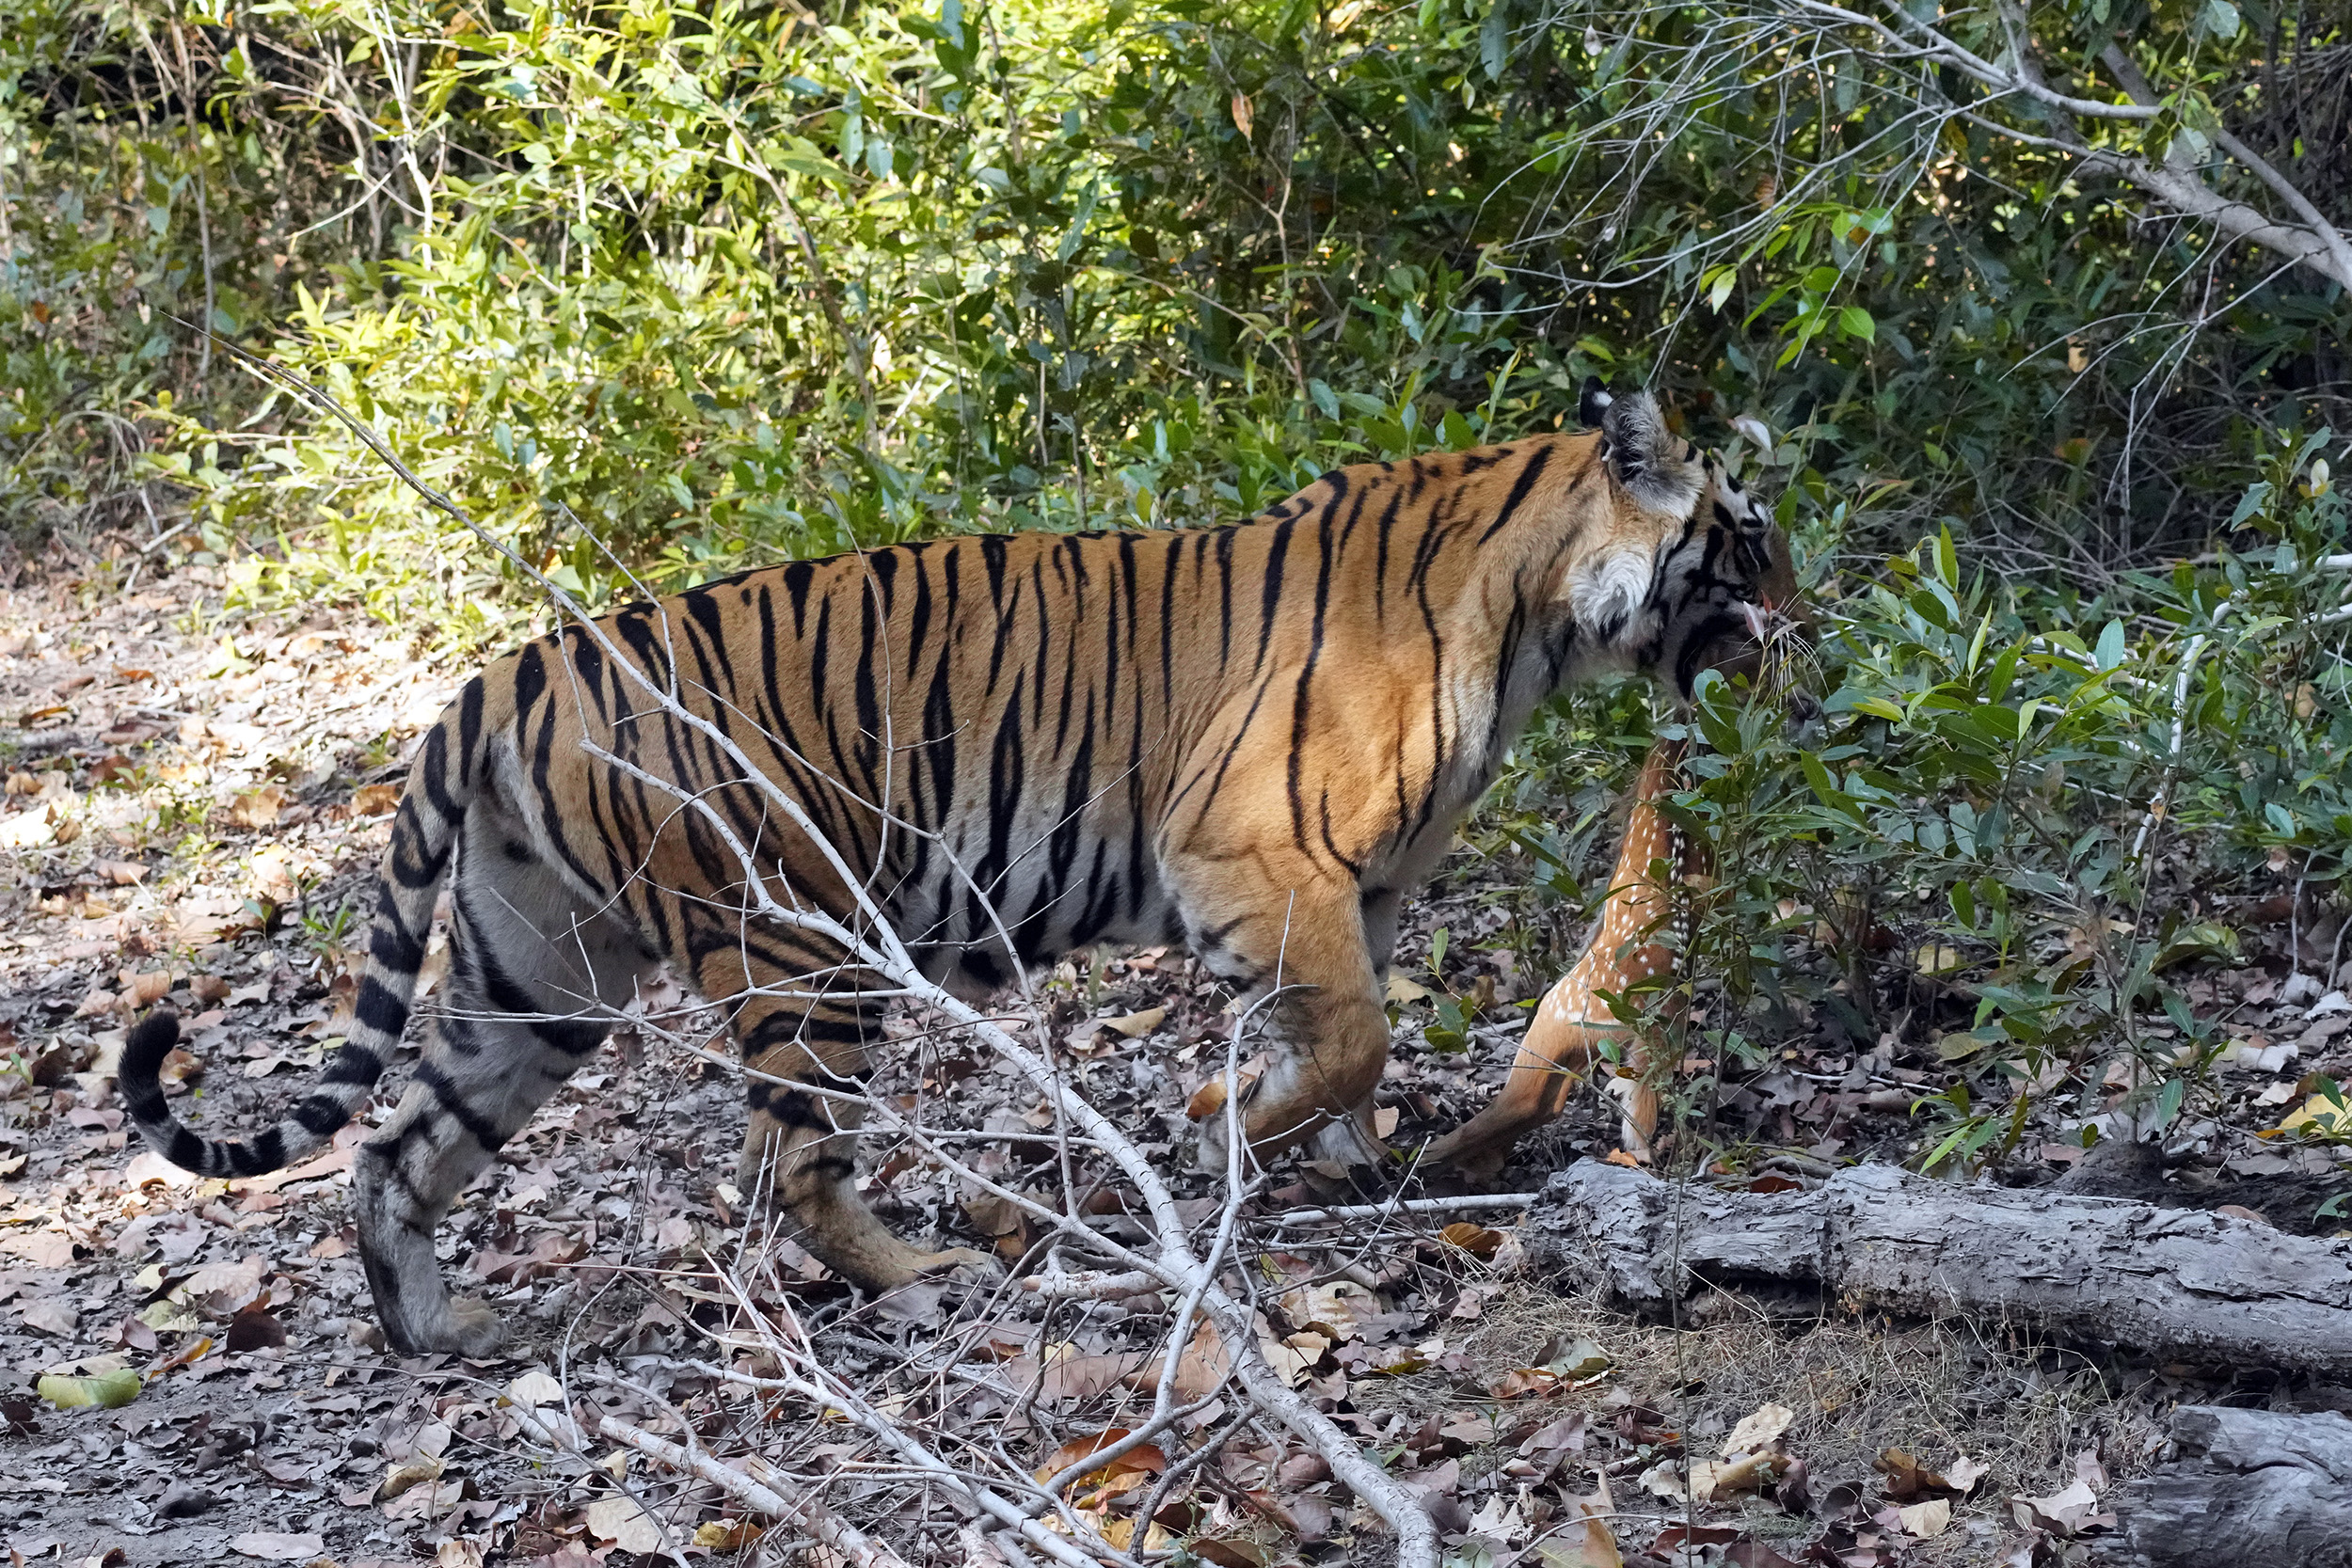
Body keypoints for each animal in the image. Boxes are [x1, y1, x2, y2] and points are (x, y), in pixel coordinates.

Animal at [118, 381, 1803, 1356]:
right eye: (1748, 538)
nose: (1812, 618)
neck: (1537, 616)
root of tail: (501, 677)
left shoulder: (1357, 891)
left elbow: (1342, 1049)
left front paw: (1336, 1166)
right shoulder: (1258, 863)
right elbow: (1350, 1039)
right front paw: (1219, 1135)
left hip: (539, 973)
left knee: (401, 1144)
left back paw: (438, 1328)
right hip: (801, 947)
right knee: (790, 1164)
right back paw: (924, 1266)